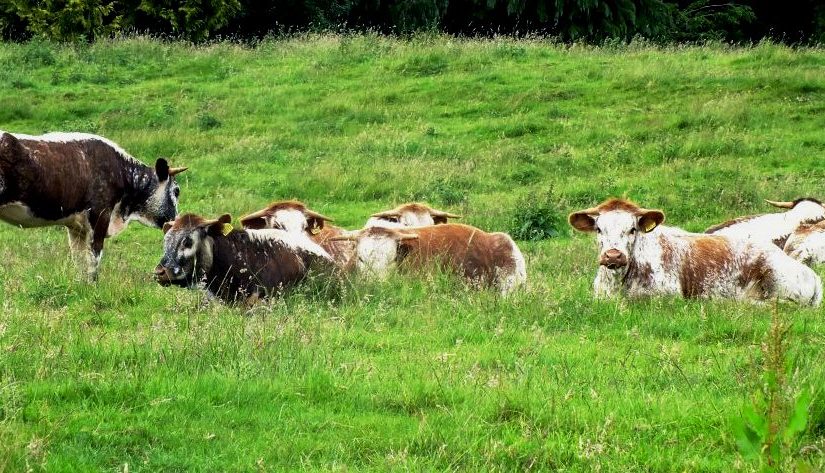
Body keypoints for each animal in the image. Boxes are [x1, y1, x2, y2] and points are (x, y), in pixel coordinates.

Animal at [0, 131, 186, 280]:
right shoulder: (100, 217)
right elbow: (93, 259)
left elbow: (79, 260)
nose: (175, 222)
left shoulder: (77, 226)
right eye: (177, 190)